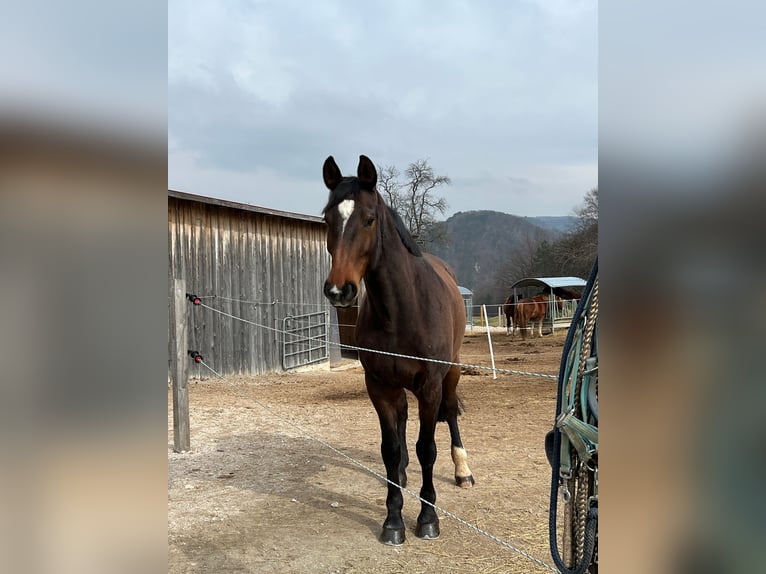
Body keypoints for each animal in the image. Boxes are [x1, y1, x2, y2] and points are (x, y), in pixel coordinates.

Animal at [320, 155, 474, 548]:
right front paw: (393, 520)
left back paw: (463, 470)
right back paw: (403, 474)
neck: (403, 309)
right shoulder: (379, 385)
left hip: (452, 372)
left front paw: (428, 518)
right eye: (326, 219)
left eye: (369, 219)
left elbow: (427, 449)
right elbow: (390, 449)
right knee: (403, 421)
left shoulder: (430, 386)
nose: (339, 291)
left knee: (451, 414)